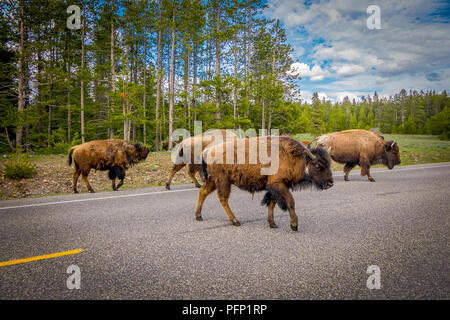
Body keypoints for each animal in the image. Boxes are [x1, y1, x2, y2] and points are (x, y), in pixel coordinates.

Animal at [194, 136, 334, 232]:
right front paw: (294, 225)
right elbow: (290, 202)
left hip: (213, 181)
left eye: (329, 164)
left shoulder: (275, 187)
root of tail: (208, 150)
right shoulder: (278, 184)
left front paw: (273, 224)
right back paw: (235, 221)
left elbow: (272, 203)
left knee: (203, 192)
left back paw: (199, 216)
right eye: (318, 166)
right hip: (223, 181)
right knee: (223, 198)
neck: (295, 158)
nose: (330, 183)